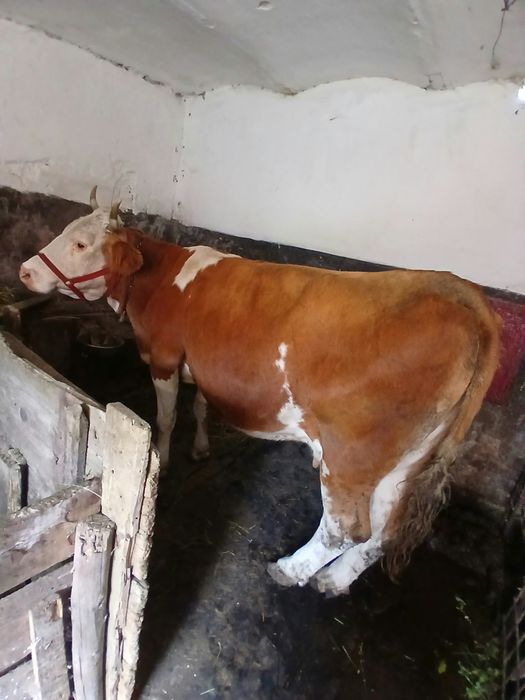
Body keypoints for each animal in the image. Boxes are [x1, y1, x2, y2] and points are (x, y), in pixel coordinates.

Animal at [19, 191, 500, 596]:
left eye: (81, 244)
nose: (25, 270)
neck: (158, 280)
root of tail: (464, 294)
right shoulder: (205, 367)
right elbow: (201, 407)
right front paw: (201, 448)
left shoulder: (164, 357)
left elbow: (168, 417)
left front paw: (166, 457)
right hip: (409, 460)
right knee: (384, 531)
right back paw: (334, 580)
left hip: (353, 455)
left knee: (345, 528)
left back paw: (290, 569)